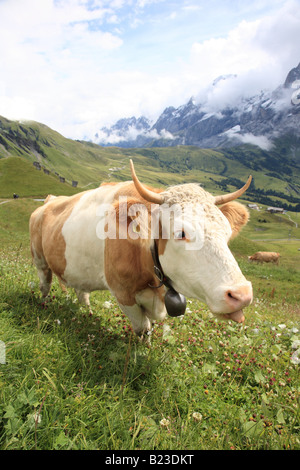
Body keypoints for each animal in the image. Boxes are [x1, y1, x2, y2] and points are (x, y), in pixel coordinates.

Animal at [28, 160, 253, 336]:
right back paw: (44, 304)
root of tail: (50, 200)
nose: (241, 295)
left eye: (227, 232)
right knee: (45, 284)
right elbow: (143, 330)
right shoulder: (123, 294)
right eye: (181, 233)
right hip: (39, 260)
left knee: (82, 293)